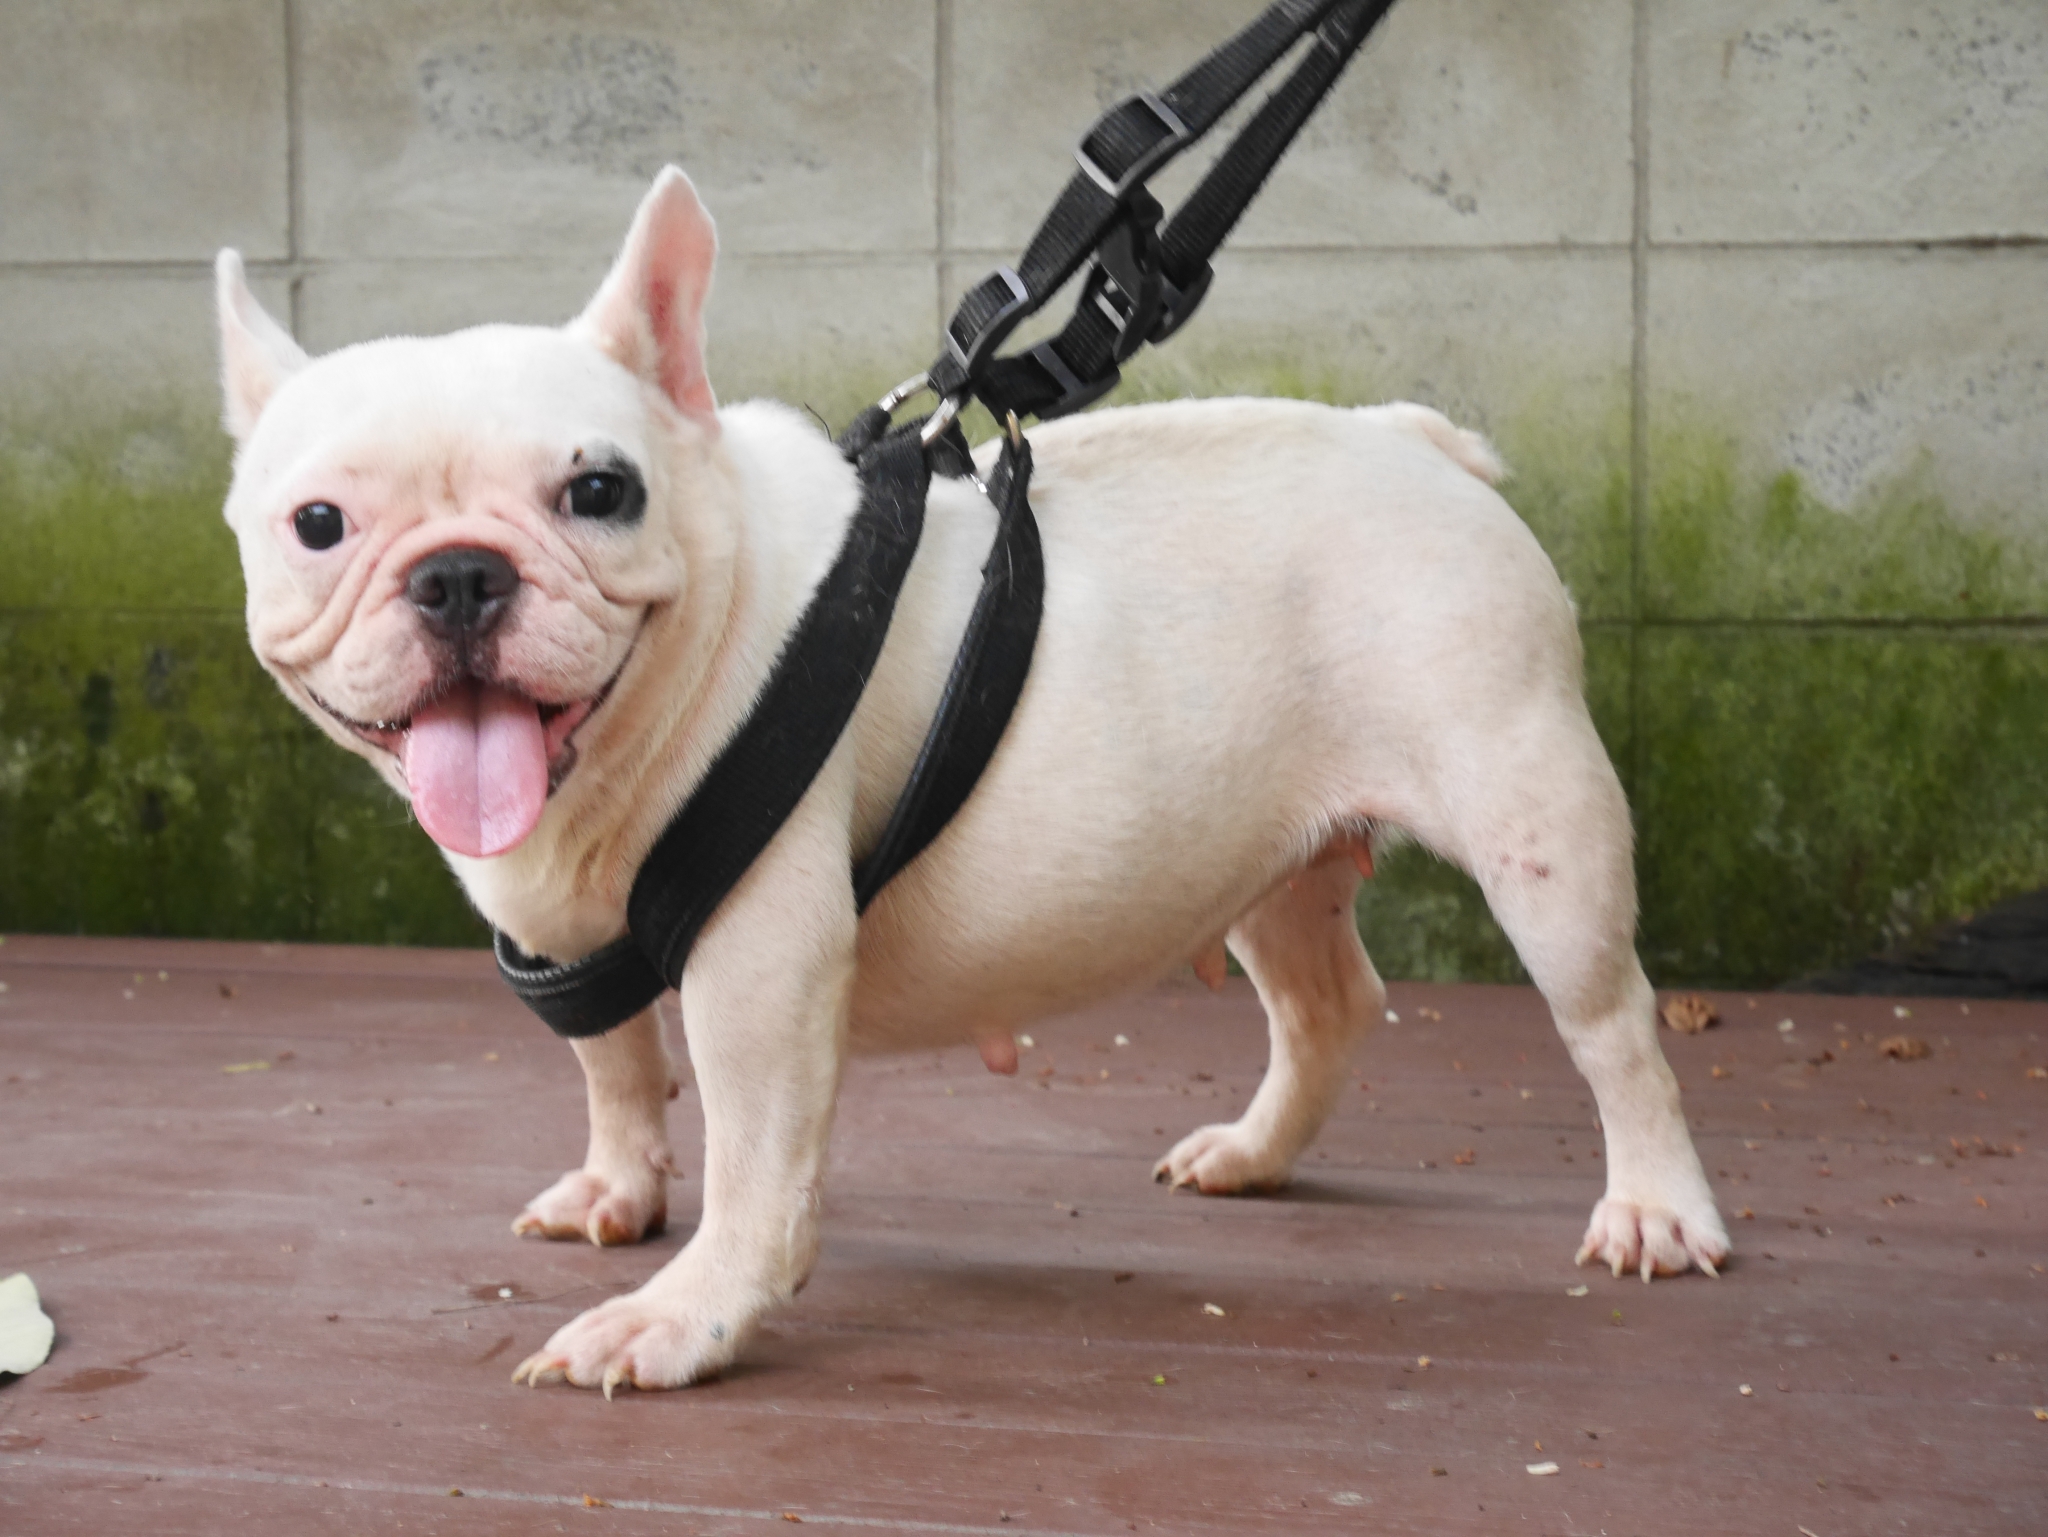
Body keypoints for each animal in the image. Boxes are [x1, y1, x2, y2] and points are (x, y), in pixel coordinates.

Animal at [212, 165, 1728, 1395]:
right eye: (318, 524)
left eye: (599, 492)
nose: (459, 574)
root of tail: (1410, 439)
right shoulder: (560, 934)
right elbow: (616, 1066)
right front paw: (617, 1187)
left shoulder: (759, 964)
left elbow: (751, 1158)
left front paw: (684, 1315)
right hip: (1268, 854)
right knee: (1326, 1001)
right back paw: (1253, 1151)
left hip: (1536, 824)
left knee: (1612, 1024)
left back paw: (1657, 1207)